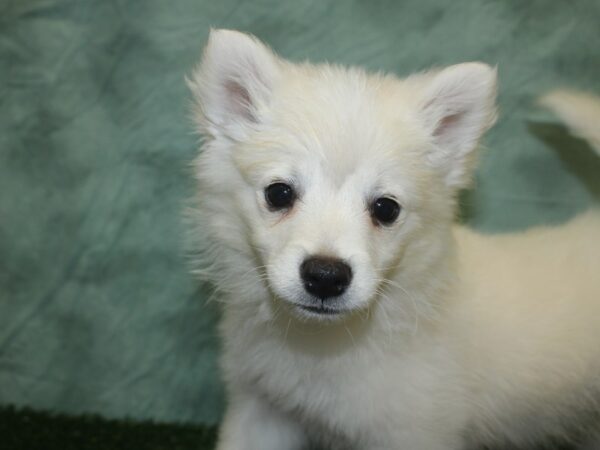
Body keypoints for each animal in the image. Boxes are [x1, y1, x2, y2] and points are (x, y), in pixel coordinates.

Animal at [188, 29, 600, 448]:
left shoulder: (413, 431)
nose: (325, 276)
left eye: (386, 209)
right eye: (279, 194)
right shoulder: (261, 410)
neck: (323, 344)